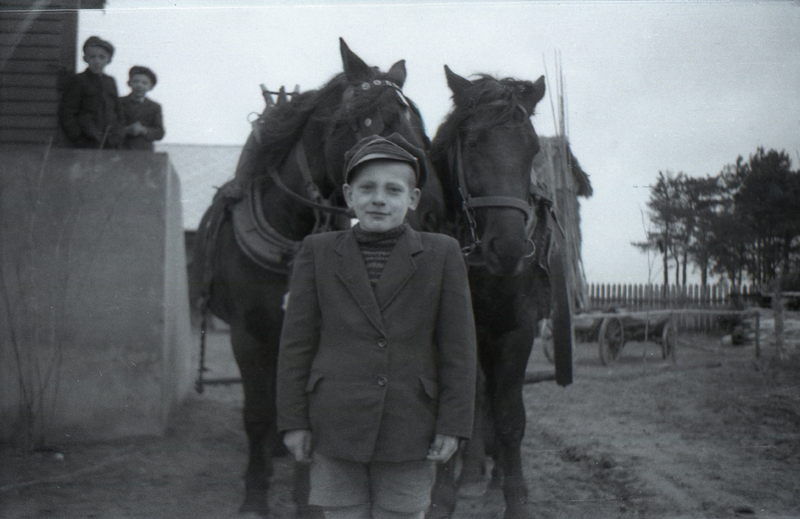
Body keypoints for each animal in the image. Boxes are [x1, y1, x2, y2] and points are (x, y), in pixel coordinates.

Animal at [192, 39, 438, 516]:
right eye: (369, 120)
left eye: (418, 125)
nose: (418, 200)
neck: (290, 231)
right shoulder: (248, 333)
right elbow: (255, 412)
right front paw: (255, 494)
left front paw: (306, 496)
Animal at [428, 67, 572, 516]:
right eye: (473, 142)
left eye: (531, 149)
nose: (507, 248)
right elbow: (458, 406)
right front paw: (442, 498)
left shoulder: (516, 331)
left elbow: (510, 415)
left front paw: (515, 496)